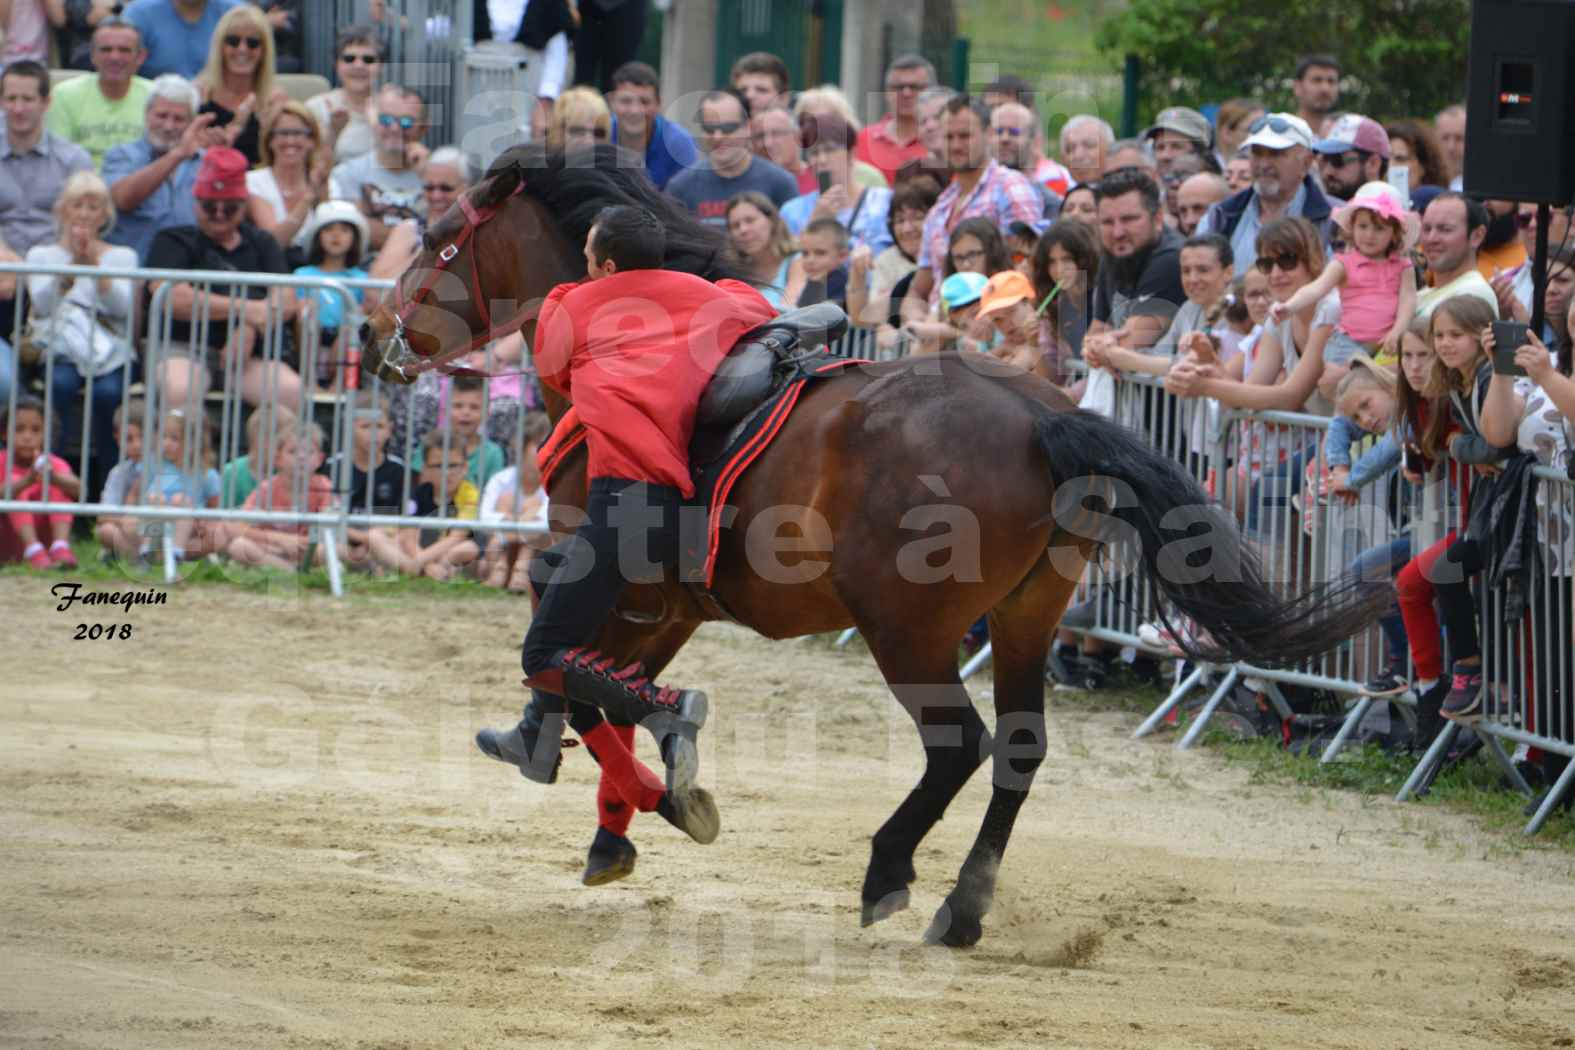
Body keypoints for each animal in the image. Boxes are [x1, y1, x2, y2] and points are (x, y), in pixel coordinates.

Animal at [360, 144, 1392, 950]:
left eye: (442, 239)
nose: (374, 332)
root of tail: (1037, 417)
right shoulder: (671, 604)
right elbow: (604, 691)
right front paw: (621, 814)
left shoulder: (610, 573)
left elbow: (573, 676)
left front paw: (624, 790)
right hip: (1025, 614)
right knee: (1019, 749)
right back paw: (962, 908)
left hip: (908, 629)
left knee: (959, 746)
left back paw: (889, 871)